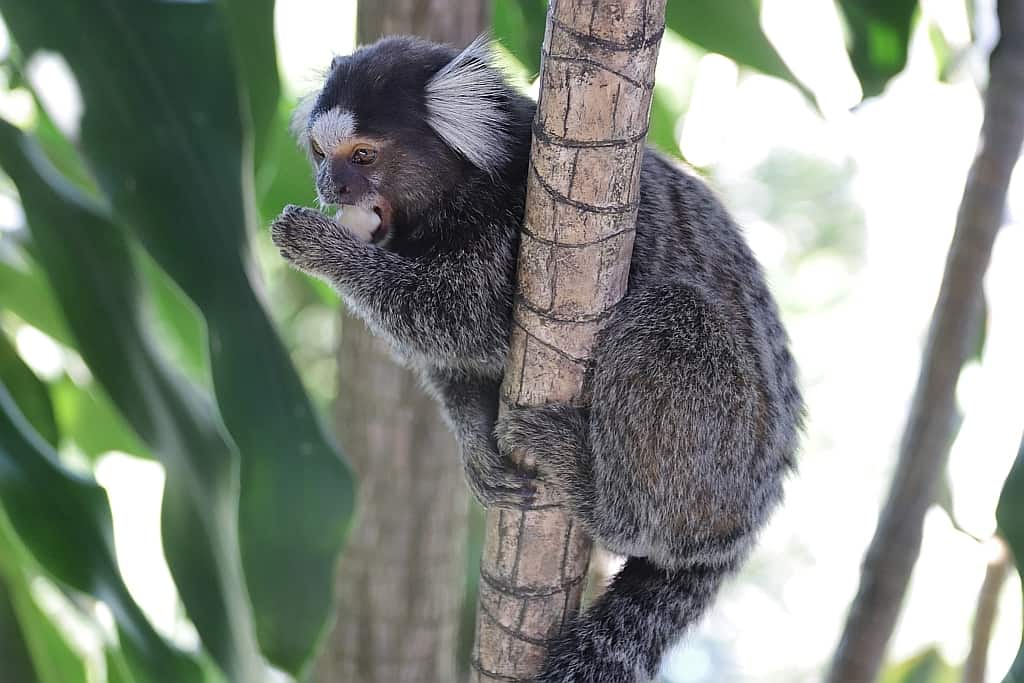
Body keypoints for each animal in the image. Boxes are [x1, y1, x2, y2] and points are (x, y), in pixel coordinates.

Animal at [271, 35, 803, 683]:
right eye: (322, 153)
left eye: (364, 156)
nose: (331, 186)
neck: (467, 187)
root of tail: (746, 522)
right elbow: (452, 366)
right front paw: (476, 449)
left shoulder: (516, 216)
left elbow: (469, 319)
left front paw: (320, 246)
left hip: (722, 462)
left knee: (674, 313)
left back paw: (597, 492)